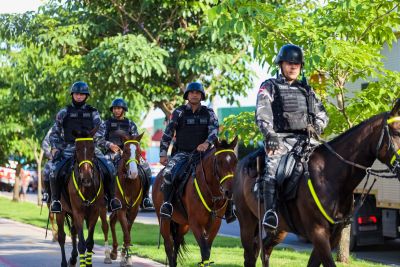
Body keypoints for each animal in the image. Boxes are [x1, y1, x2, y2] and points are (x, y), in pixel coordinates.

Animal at [55, 129, 104, 266]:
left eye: (92, 148)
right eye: (76, 149)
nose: (86, 179)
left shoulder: (94, 213)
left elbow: (89, 242)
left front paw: (88, 263)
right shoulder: (78, 213)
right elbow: (82, 243)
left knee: (73, 232)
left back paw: (73, 258)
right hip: (60, 212)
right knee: (61, 236)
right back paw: (64, 262)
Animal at [101, 133, 145, 266]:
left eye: (139, 151)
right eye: (125, 151)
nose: (133, 173)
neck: (129, 183)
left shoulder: (134, 209)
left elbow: (128, 231)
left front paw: (126, 256)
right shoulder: (121, 208)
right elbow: (126, 232)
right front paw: (124, 257)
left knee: (112, 221)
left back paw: (114, 251)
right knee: (105, 226)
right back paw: (108, 255)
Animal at [152, 138, 238, 267]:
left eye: (235, 162)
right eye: (219, 162)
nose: (230, 191)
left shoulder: (215, 224)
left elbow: (207, 250)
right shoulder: (195, 223)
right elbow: (204, 250)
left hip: (183, 225)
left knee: (176, 243)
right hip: (164, 220)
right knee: (168, 246)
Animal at [234, 101, 400, 266]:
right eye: (396, 132)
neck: (329, 175)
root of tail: (241, 163)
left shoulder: (333, 236)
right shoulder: (318, 233)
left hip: (279, 229)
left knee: (264, 250)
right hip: (248, 224)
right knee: (250, 256)